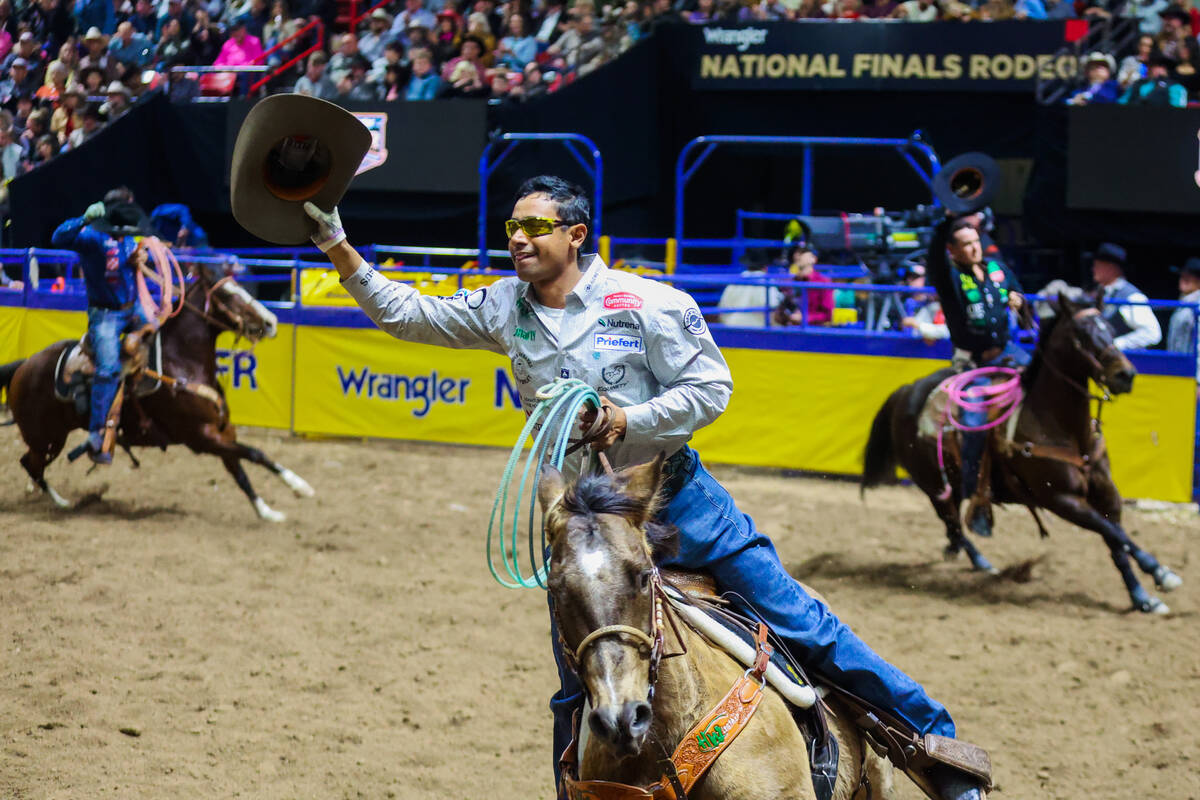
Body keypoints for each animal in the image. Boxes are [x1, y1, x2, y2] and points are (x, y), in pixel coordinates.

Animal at [0, 266, 314, 522]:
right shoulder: (202, 438)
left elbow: (240, 472)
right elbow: (255, 453)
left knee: (33, 465)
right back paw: (62, 503)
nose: (271, 321)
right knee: (31, 464)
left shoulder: (223, 432)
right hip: (45, 437)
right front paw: (300, 485)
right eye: (227, 295)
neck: (184, 365)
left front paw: (268, 512)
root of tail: (24, 365)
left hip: (53, 438)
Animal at [864, 297, 1180, 618]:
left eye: (1110, 328)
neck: (1060, 427)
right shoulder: (1062, 500)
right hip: (933, 486)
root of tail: (906, 390)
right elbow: (1115, 535)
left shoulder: (1107, 494)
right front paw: (1161, 573)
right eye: (1081, 334)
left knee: (954, 524)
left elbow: (1116, 539)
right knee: (953, 522)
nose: (1124, 375)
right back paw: (981, 562)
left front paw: (1142, 598)